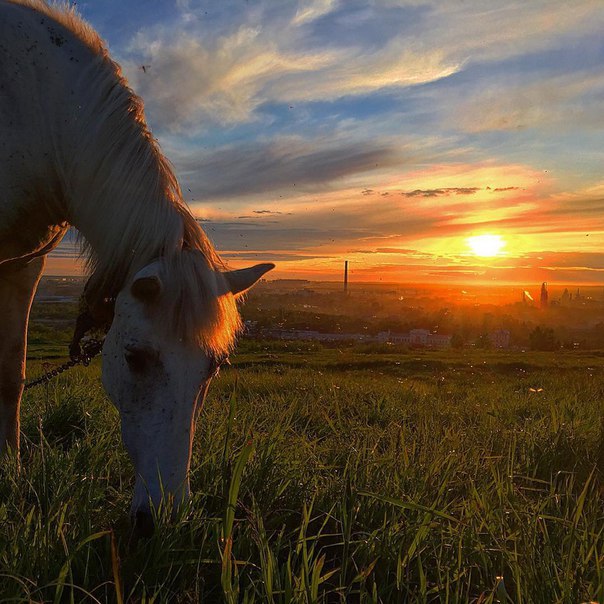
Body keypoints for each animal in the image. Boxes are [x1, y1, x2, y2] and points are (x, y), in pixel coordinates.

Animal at [0, 0, 274, 532]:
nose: (163, 516)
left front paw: (9, 471)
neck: (36, 110)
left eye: (213, 368)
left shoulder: (24, 264)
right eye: (134, 357)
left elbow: (11, 372)